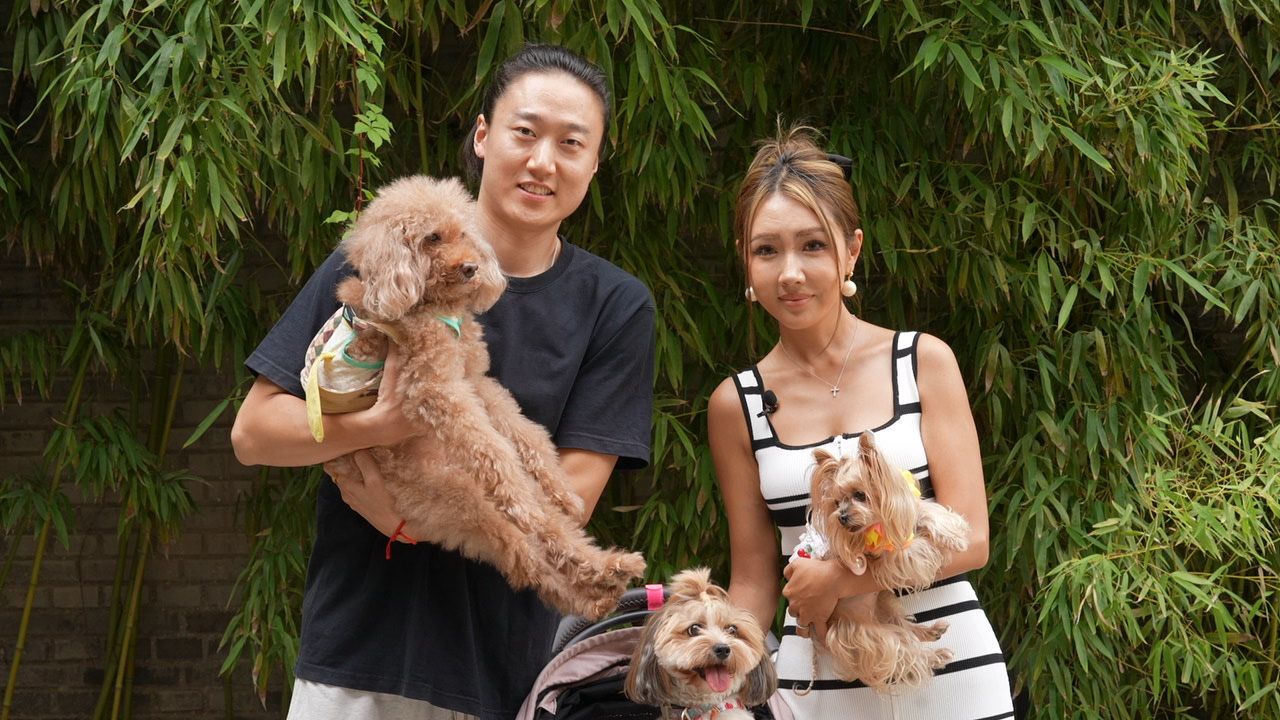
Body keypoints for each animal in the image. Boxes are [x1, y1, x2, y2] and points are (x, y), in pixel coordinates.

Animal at [798, 427, 967, 686]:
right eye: (836, 503)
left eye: (860, 495)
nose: (842, 517)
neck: (881, 524)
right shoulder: (889, 558)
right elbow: (913, 550)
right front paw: (935, 550)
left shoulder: (905, 511)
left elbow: (927, 512)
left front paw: (953, 537)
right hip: (869, 636)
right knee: (904, 652)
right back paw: (936, 656)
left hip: (885, 604)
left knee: (904, 628)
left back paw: (931, 632)